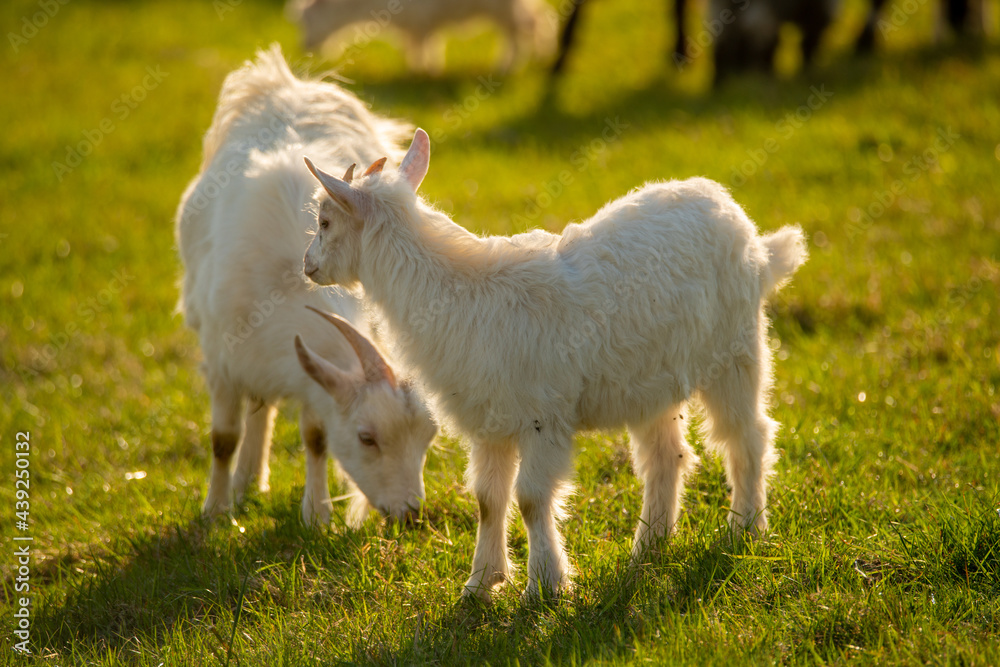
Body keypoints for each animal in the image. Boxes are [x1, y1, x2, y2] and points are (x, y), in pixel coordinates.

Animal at [176, 45, 436, 527]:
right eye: (367, 437)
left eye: (428, 436)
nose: (410, 513)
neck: (284, 291)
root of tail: (287, 81)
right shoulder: (221, 360)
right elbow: (223, 438)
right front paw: (216, 511)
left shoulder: (312, 373)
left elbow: (315, 436)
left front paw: (316, 513)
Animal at [287, 0, 556, 72]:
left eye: (307, 21)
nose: (304, 47)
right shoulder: (416, 22)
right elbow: (419, 44)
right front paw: (420, 67)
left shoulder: (419, 17)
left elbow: (423, 44)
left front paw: (424, 69)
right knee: (535, 20)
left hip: (504, 8)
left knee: (525, 27)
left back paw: (508, 66)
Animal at [302, 129, 807, 600]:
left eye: (325, 222)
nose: (307, 266)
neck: (459, 291)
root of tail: (741, 223)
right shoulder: (489, 422)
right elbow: (488, 500)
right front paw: (481, 584)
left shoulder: (542, 418)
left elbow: (530, 499)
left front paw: (545, 585)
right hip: (652, 382)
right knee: (667, 457)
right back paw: (649, 548)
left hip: (736, 353)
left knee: (747, 436)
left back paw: (745, 528)